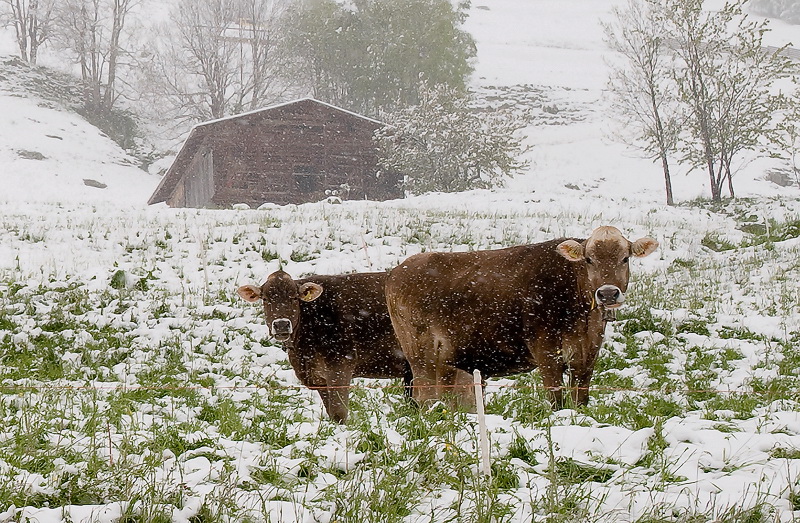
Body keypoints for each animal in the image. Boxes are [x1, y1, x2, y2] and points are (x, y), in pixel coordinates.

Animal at [238, 272, 412, 424]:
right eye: (265, 299)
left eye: (294, 297)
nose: (281, 324)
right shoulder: (318, 378)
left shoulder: (340, 365)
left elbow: (338, 412)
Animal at [386, 227, 656, 412]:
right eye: (589, 259)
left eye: (625, 258)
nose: (608, 293)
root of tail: (399, 270)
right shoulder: (547, 353)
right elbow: (556, 399)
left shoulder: (586, 357)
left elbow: (580, 399)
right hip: (421, 354)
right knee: (424, 397)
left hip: (445, 361)